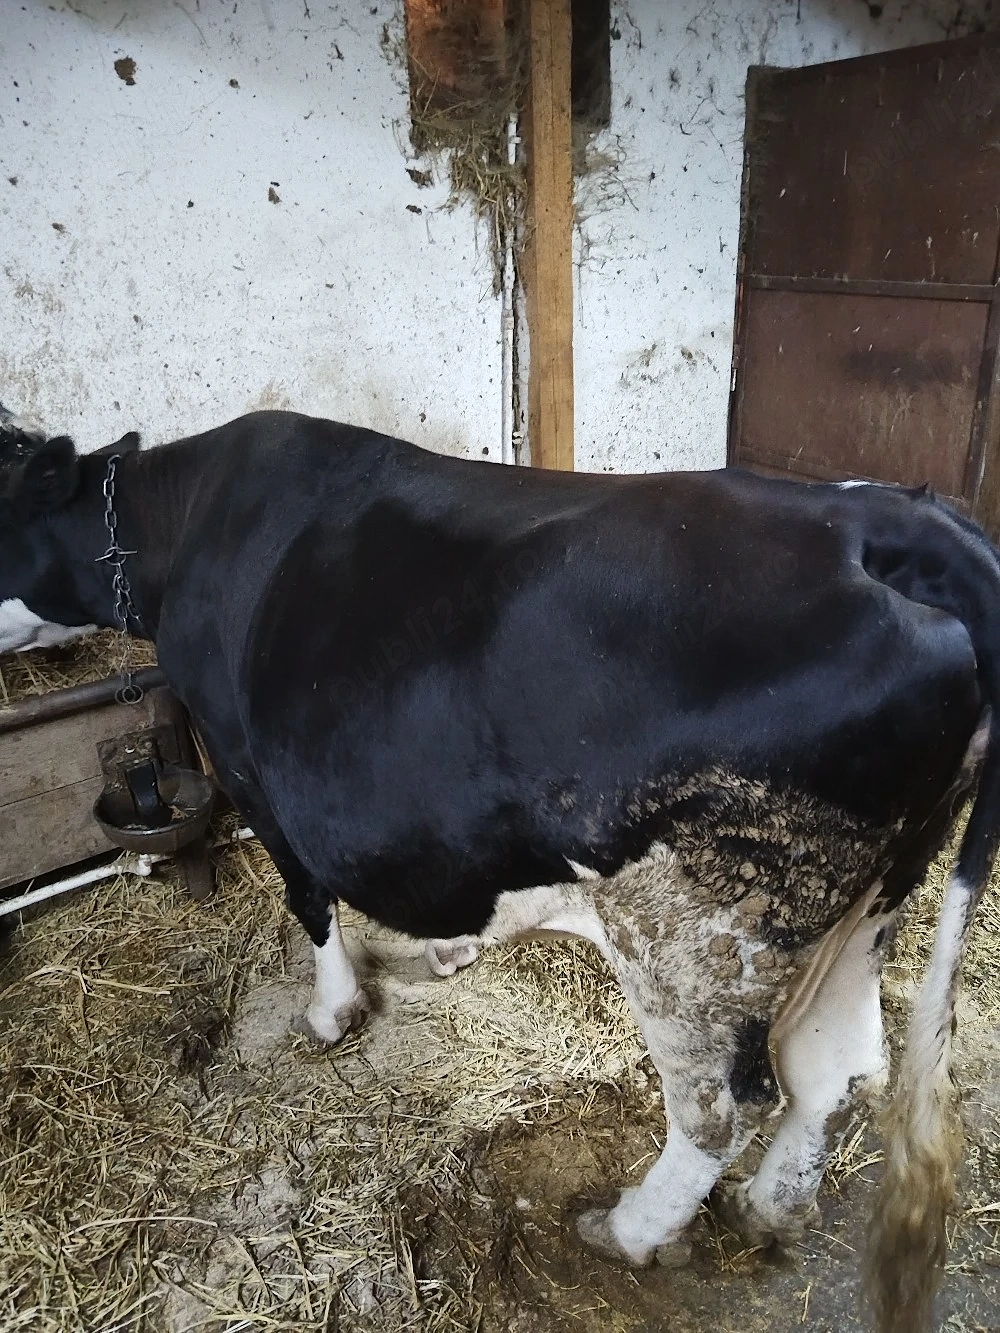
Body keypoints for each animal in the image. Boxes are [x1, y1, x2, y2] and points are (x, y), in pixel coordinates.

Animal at [1, 404, 998, 1333]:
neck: (182, 522)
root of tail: (885, 522)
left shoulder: (250, 768)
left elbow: (309, 896)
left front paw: (331, 1011)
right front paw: (446, 953)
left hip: (699, 932)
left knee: (722, 1105)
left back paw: (631, 1227)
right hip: (868, 902)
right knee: (840, 1066)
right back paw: (769, 1207)